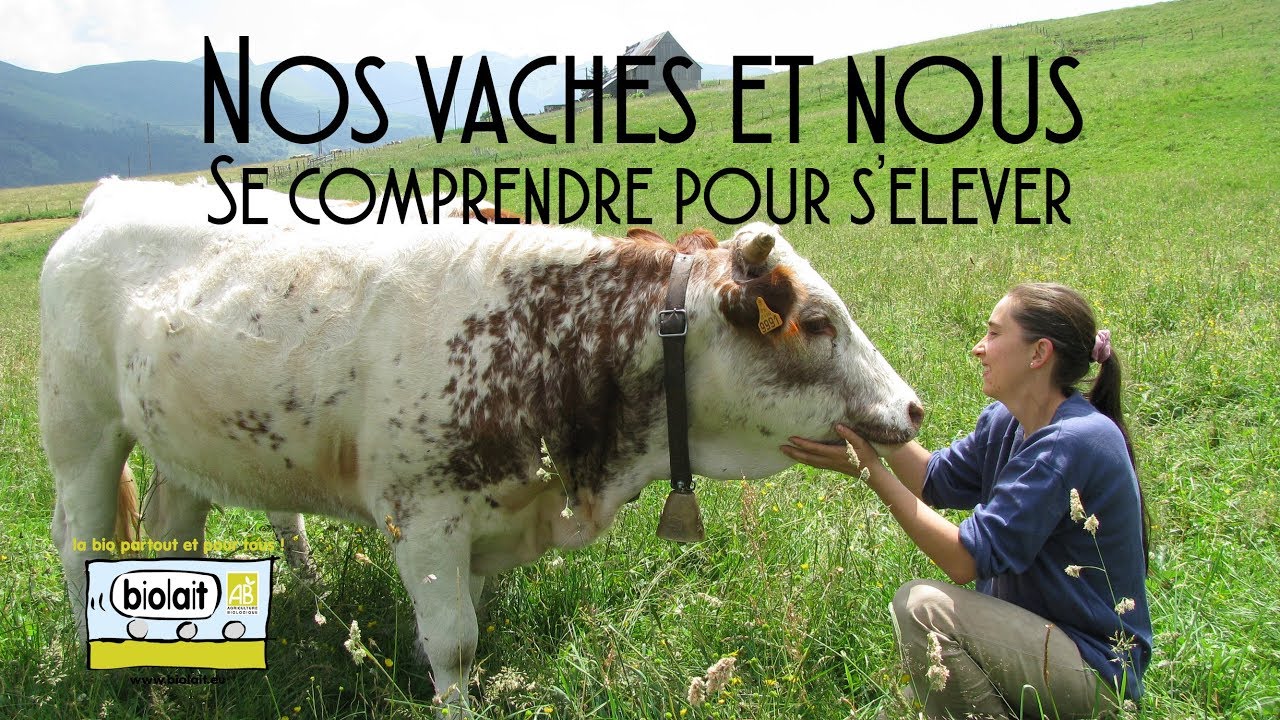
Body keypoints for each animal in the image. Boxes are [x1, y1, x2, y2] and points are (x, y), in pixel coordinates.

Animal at [40, 178, 922, 703]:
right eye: (817, 322)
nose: (913, 410)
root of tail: (110, 198)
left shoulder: (491, 518)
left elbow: (470, 625)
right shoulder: (424, 516)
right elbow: (455, 644)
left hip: (186, 447)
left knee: (171, 533)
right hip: (81, 432)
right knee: (81, 545)